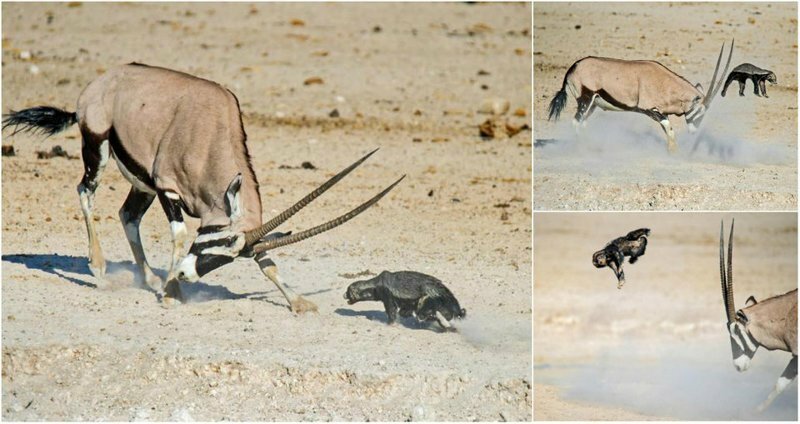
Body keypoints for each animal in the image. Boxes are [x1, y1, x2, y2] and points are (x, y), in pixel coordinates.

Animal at [4, 63, 406, 314]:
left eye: (229, 254)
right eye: (215, 242)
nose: (185, 275)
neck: (210, 135)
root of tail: (101, 82)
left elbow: (267, 261)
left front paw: (297, 302)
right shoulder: (169, 191)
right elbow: (180, 236)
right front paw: (171, 294)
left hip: (141, 182)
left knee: (127, 214)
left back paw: (149, 277)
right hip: (98, 149)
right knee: (85, 192)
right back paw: (101, 271)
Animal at [552, 40, 732, 153]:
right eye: (700, 113)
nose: (694, 132)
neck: (664, 83)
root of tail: (573, 68)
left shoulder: (661, 112)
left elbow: (667, 130)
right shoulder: (650, 110)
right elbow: (669, 128)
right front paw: (674, 153)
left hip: (593, 104)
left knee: (583, 124)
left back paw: (592, 147)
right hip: (585, 100)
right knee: (576, 122)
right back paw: (582, 150)